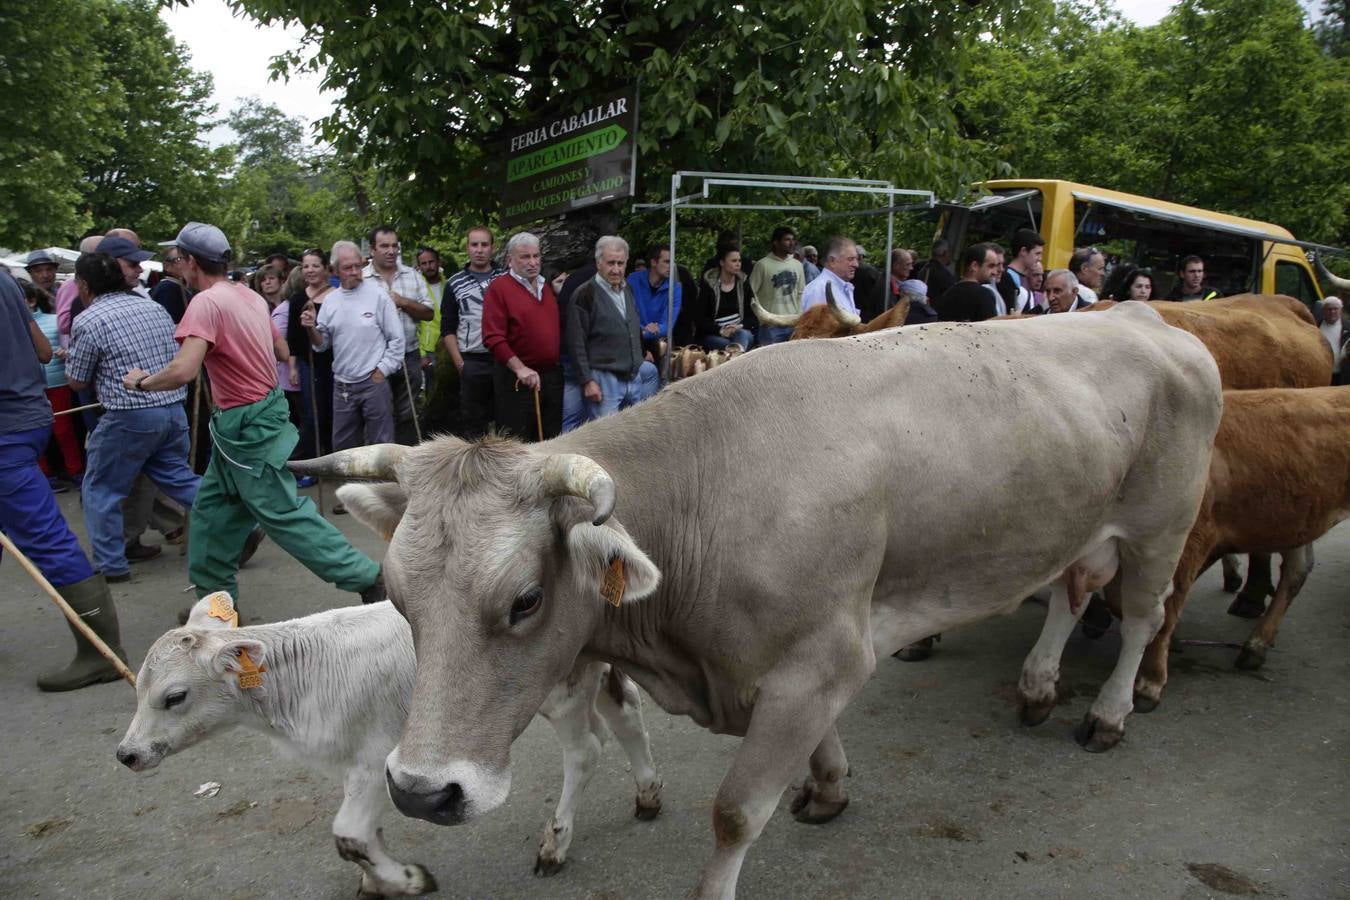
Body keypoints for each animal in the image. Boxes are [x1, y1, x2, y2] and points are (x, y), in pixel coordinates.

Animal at [118, 593, 661, 895]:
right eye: (138, 688)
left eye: (174, 696)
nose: (127, 754)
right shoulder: (357, 765)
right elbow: (367, 833)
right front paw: (375, 881)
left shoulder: (377, 758)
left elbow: (349, 834)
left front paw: (406, 881)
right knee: (627, 713)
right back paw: (648, 795)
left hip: (563, 693)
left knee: (586, 750)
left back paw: (555, 844)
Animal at [292, 302, 1225, 900]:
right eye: (398, 598)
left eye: (524, 600)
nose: (420, 792)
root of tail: (1145, 321)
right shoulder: (806, 667)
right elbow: (815, 750)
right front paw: (829, 785)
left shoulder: (822, 658)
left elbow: (736, 812)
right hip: (1081, 524)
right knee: (1072, 590)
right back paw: (1036, 685)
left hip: (1162, 523)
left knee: (1141, 617)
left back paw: (1107, 712)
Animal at [1128, 391, 1350, 712]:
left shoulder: (1191, 543)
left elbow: (1167, 610)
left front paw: (1148, 683)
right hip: (1297, 520)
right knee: (1296, 572)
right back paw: (1256, 646)